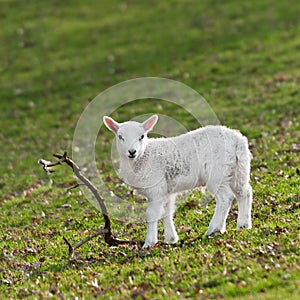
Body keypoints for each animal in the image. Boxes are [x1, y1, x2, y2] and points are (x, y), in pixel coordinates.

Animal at [103, 115, 253, 248]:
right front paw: (171, 239)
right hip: (238, 168)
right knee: (244, 192)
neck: (143, 157)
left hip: (218, 172)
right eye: (120, 137)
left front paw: (149, 243)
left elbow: (152, 214)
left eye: (142, 136)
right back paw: (243, 225)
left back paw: (214, 229)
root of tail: (237, 140)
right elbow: (167, 212)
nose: (132, 152)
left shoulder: (156, 189)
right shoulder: (166, 190)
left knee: (225, 197)